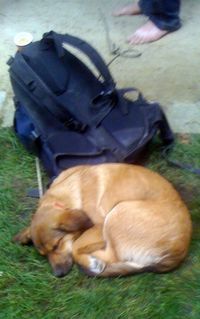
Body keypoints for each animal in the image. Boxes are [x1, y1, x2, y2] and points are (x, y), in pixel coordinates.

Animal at [14, 165, 192, 278]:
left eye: (57, 245)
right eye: (43, 255)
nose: (58, 275)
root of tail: (178, 252)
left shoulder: (98, 226)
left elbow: (76, 246)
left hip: (119, 212)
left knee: (112, 256)